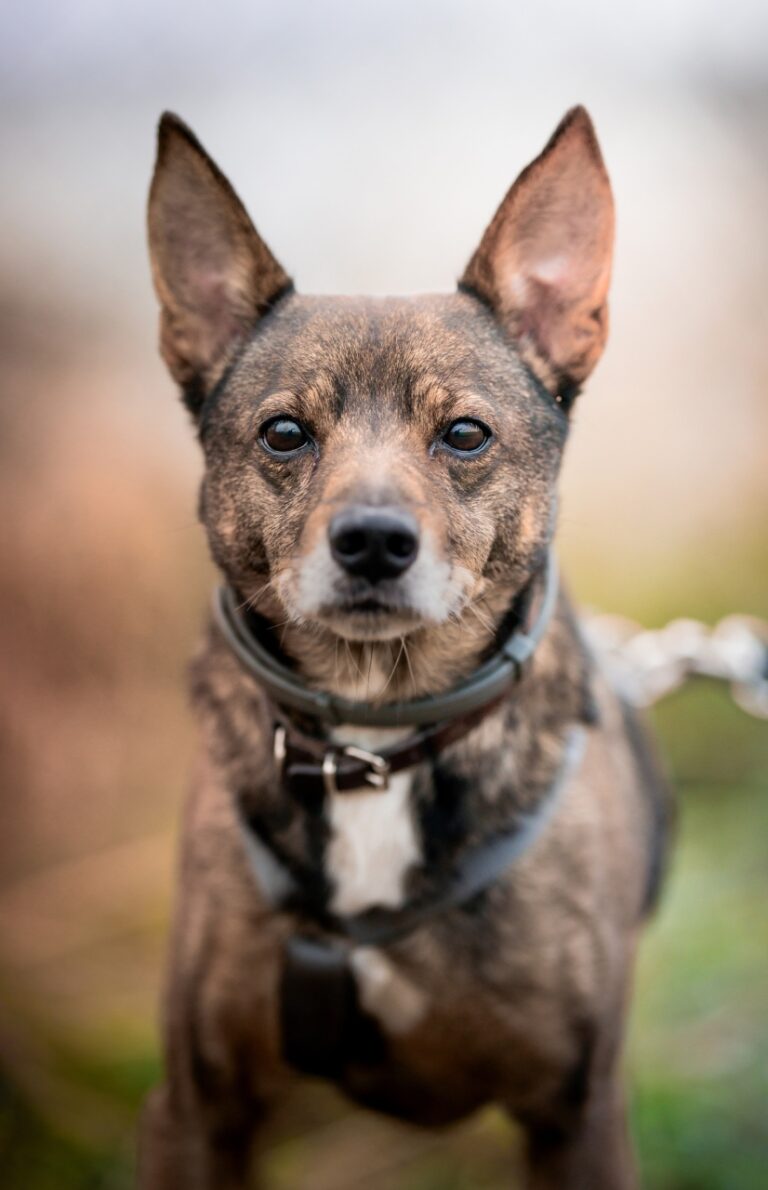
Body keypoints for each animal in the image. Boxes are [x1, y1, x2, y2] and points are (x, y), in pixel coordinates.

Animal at [140, 107, 666, 1185]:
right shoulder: (197, 1106)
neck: (375, 739)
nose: (375, 542)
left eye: (464, 434)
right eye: (285, 433)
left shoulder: (578, 1111)